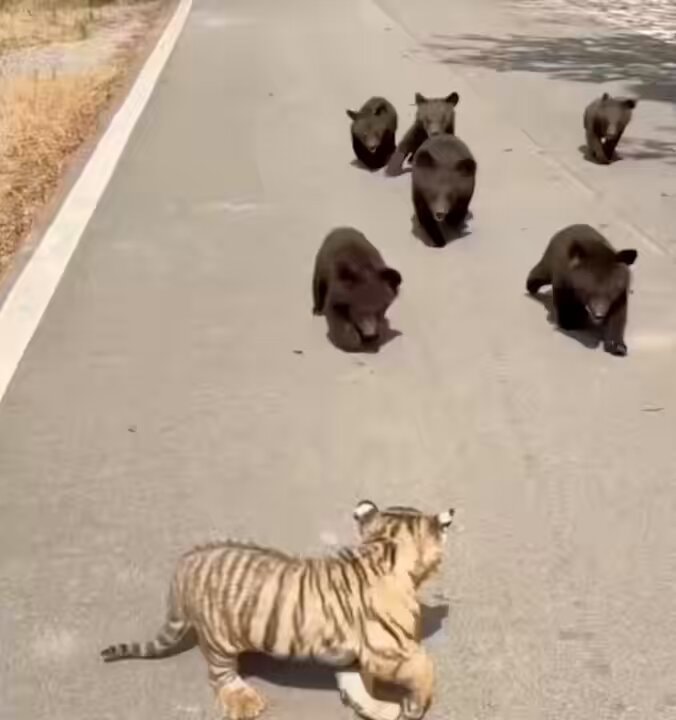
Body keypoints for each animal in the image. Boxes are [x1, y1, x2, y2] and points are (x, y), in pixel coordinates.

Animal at [101, 500, 454, 720]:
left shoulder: (353, 655)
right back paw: (245, 701)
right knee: (220, 675)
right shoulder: (388, 651)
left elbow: (355, 686)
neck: (383, 545)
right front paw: (412, 706)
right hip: (220, 639)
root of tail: (185, 563)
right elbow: (424, 667)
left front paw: (380, 709)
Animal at [526, 224, 638, 356]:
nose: (599, 314)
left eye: (611, 291)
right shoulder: (564, 279)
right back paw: (531, 286)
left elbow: (617, 315)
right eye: (588, 290)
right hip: (550, 259)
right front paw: (569, 323)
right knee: (541, 273)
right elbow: (564, 302)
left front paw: (617, 346)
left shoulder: (620, 293)